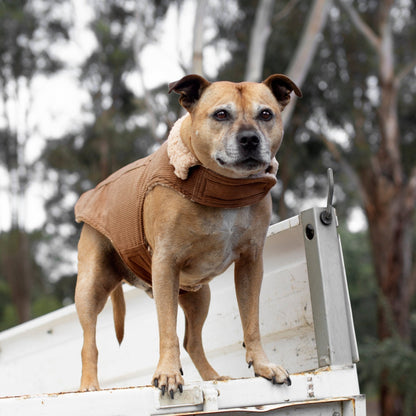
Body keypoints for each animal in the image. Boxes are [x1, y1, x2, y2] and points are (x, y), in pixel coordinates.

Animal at [75, 74, 300, 396]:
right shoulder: (165, 265)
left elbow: (251, 322)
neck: (225, 189)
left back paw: (214, 377)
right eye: (221, 114)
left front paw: (262, 365)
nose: (249, 139)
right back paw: (89, 386)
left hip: (198, 296)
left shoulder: (250, 264)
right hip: (90, 286)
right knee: (89, 342)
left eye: (266, 114)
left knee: (192, 341)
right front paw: (168, 373)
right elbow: (166, 328)